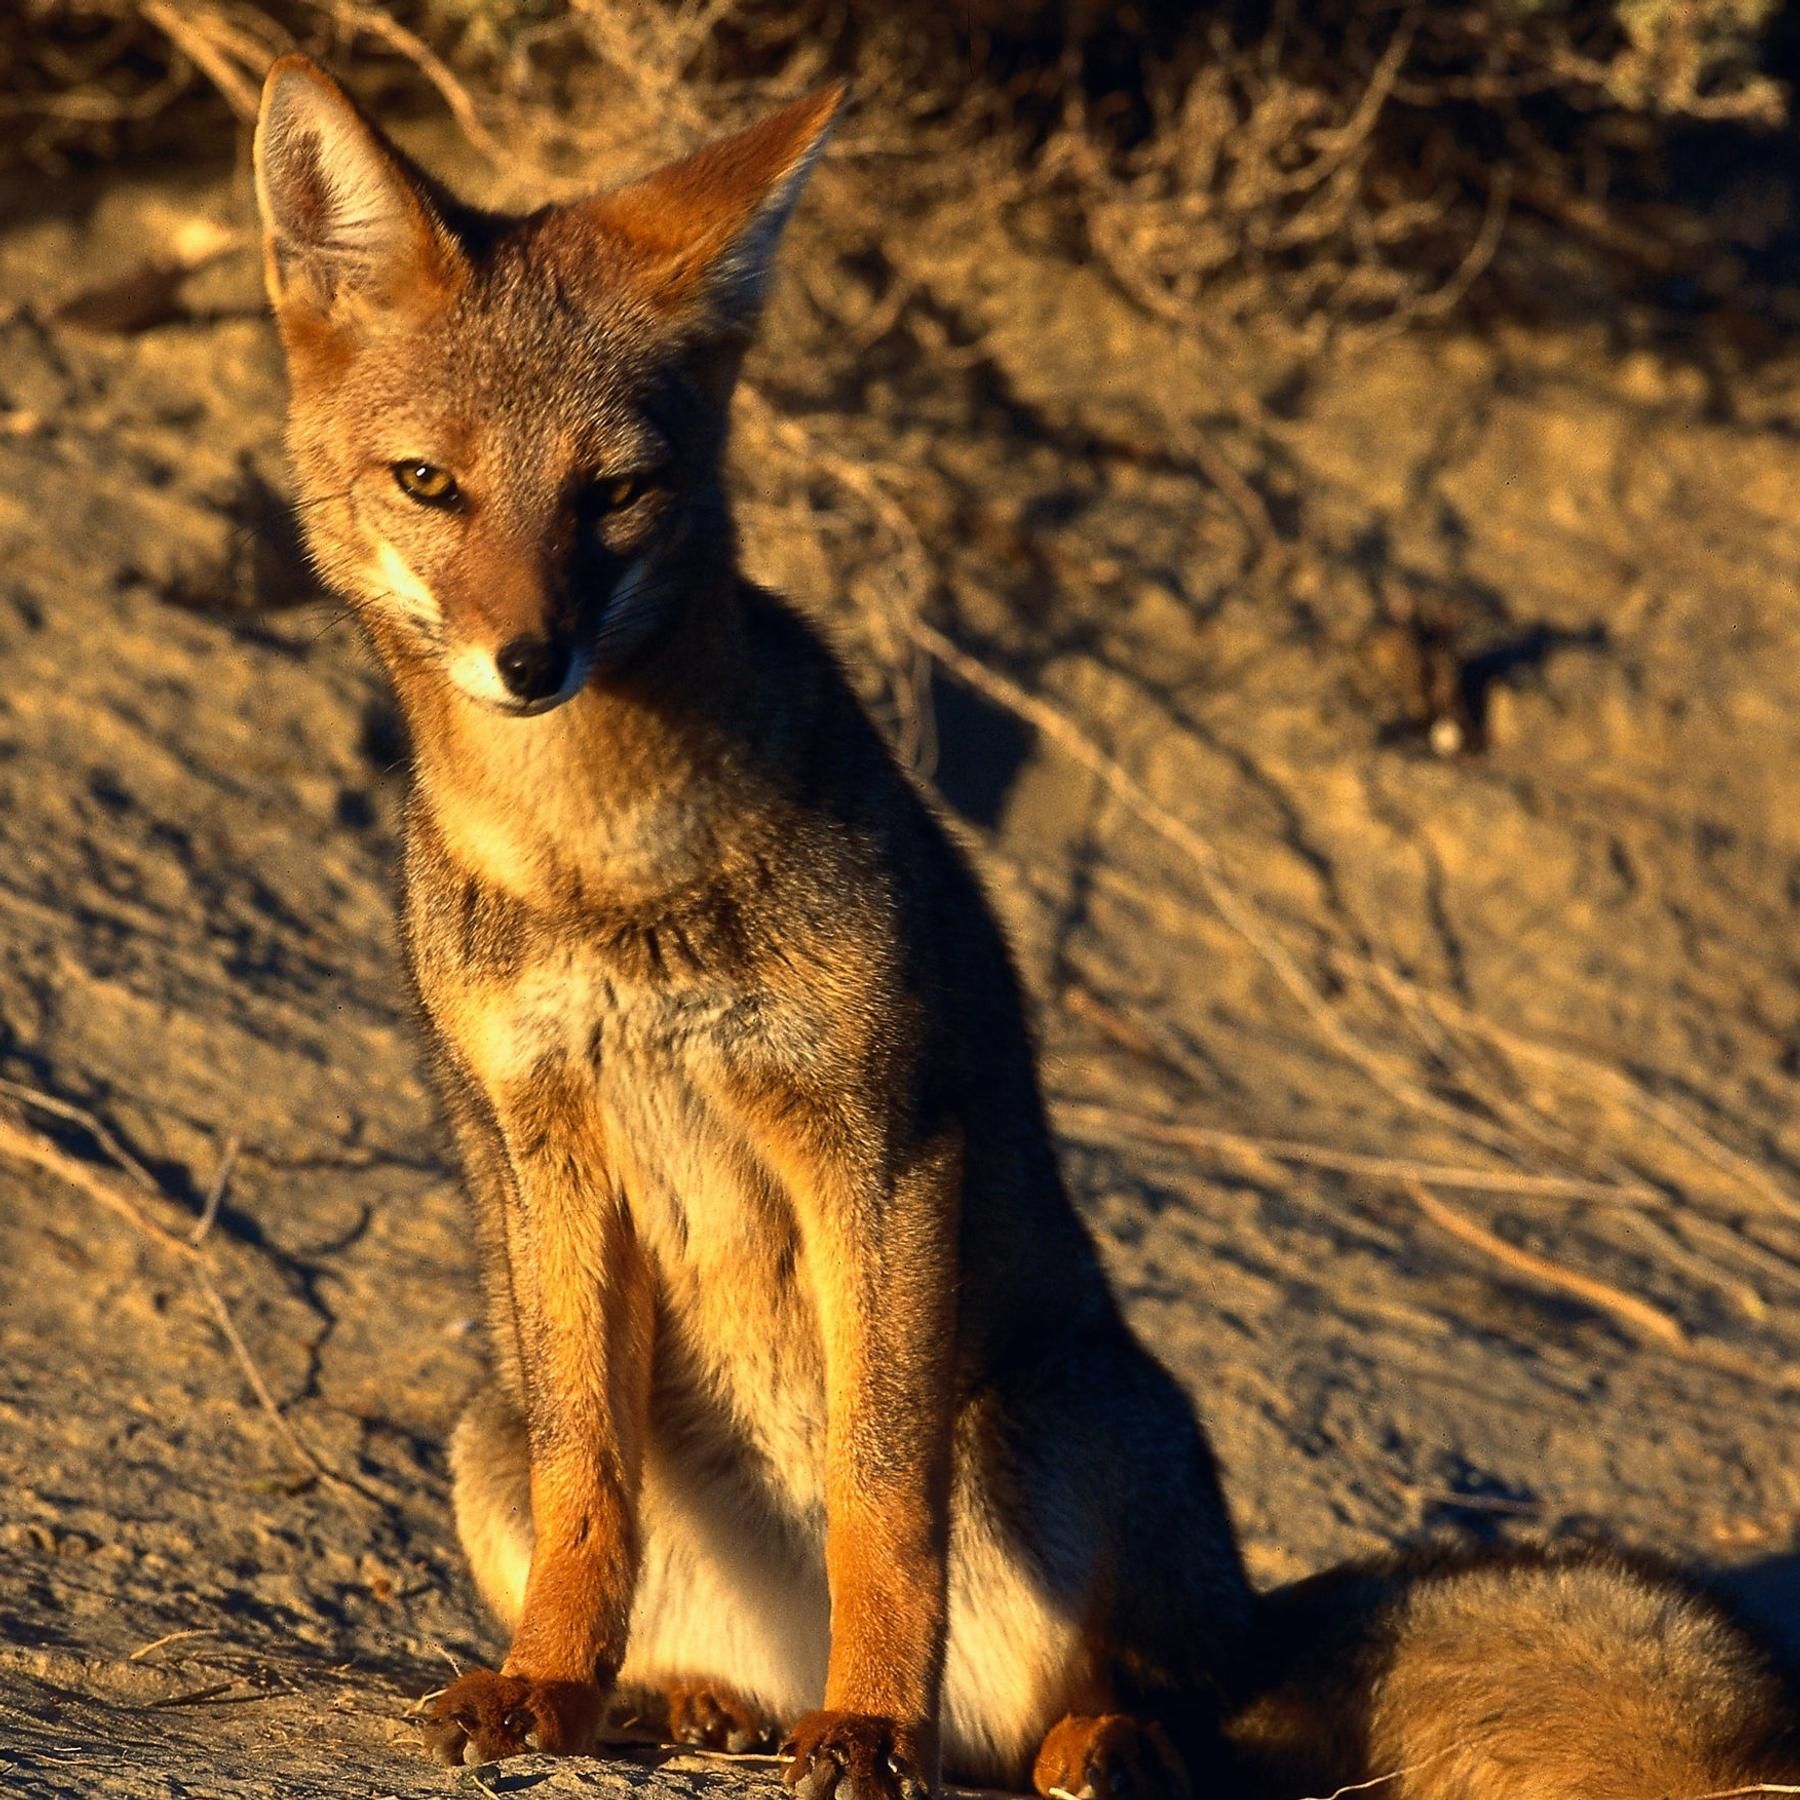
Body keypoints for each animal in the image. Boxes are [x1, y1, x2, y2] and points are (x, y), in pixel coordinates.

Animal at [251, 54, 1251, 1799]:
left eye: (617, 494)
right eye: (431, 483)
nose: (530, 659)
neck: (600, 872)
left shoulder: (878, 1141)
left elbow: (878, 1502)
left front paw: (873, 1726)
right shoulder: (545, 1148)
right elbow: (593, 1487)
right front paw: (546, 1685)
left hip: (1059, 1425)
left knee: (1175, 1698)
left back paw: (1073, 1736)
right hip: (484, 1424)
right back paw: (693, 1697)